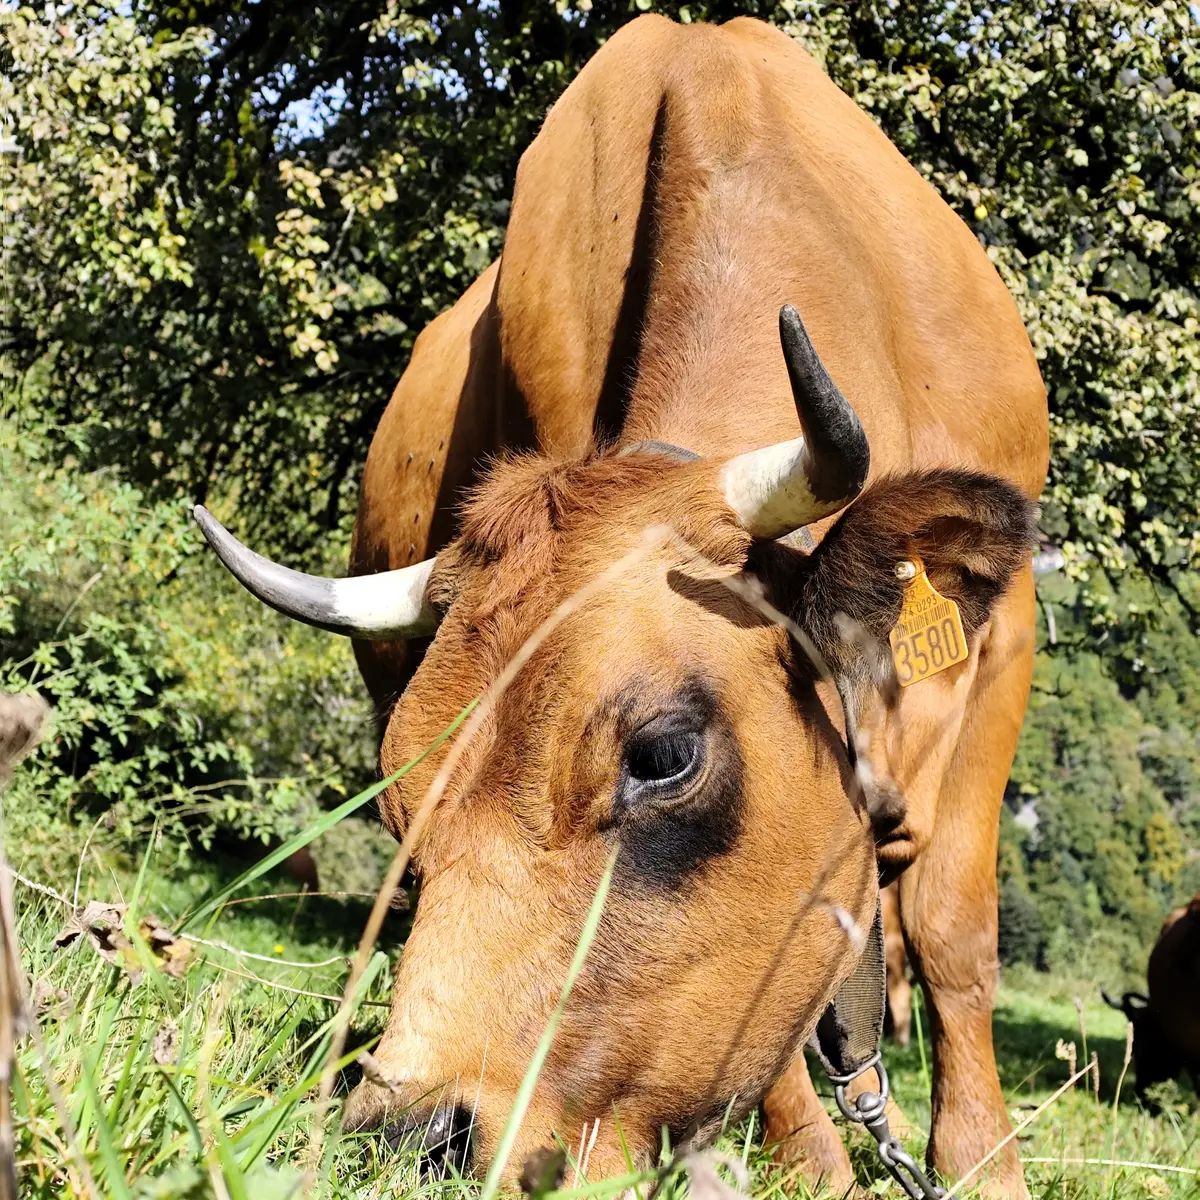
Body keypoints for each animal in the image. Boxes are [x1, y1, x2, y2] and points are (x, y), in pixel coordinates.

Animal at [195, 15, 1047, 1196]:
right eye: (401, 794)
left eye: (661, 756)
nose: (413, 1135)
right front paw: (814, 1170)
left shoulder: (1004, 640)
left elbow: (955, 932)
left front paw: (982, 1162)